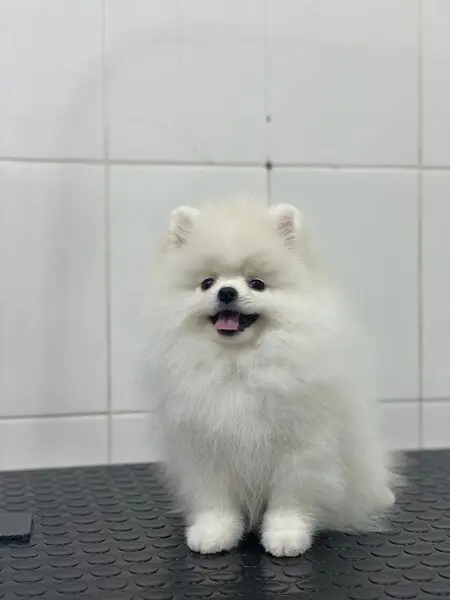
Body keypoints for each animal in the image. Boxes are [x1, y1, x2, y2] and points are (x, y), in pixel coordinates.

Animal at [148, 197, 395, 557]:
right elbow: (215, 499)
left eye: (257, 284)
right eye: (207, 282)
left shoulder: (300, 446)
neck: (240, 364)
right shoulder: (205, 447)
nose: (226, 292)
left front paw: (286, 536)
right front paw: (213, 533)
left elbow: (289, 499)